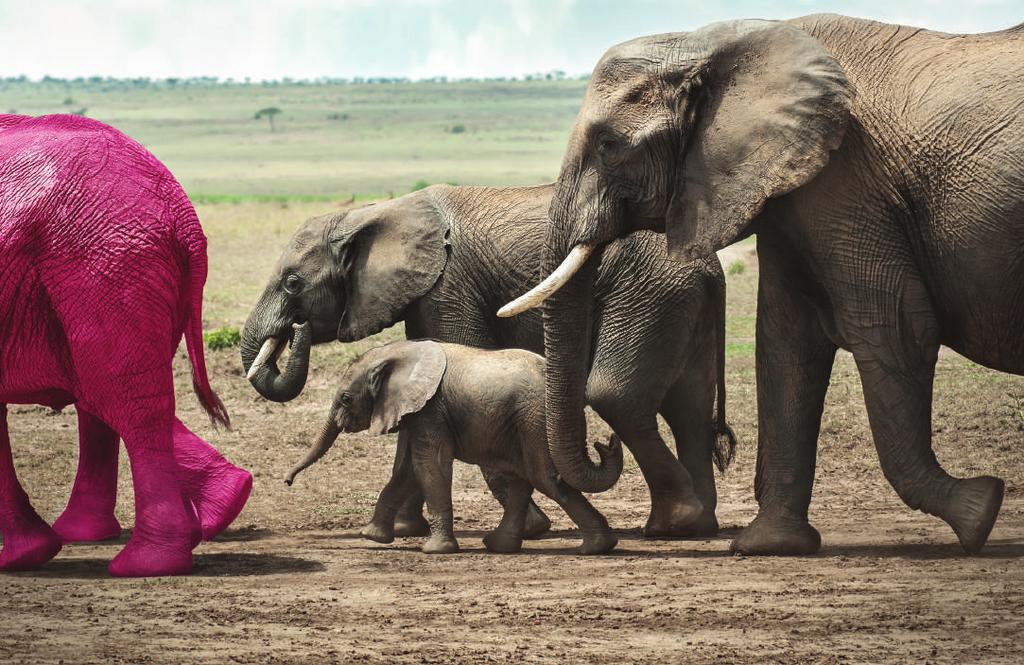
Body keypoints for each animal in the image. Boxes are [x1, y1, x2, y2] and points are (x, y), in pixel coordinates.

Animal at [1, 111, 252, 573]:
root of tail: (180, 209)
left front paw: (21, 558)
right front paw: (27, 555)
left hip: (104, 265)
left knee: (120, 394)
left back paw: (146, 562)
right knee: (105, 388)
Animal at [282, 340, 622, 553]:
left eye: (345, 399)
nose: (287, 481)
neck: (401, 351)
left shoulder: (431, 409)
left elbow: (429, 465)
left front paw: (435, 550)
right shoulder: (418, 412)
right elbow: (408, 470)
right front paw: (372, 537)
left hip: (533, 419)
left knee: (543, 477)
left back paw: (595, 548)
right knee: (522, 478)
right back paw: (503, 547)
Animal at [503, 15, 1024, 553]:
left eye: (608, 147)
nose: (601, 446)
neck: (714, 43)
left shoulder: (849, 181)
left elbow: (896, 329)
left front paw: (979, 512)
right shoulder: (788, 186)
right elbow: (786, 340)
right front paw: (770, 545)